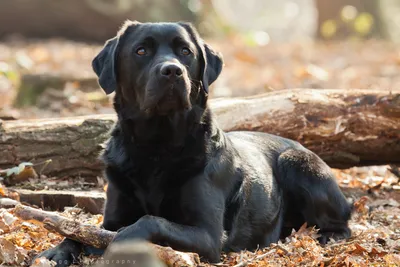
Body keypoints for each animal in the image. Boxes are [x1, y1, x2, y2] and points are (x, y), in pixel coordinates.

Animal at [36, 21, 352, 267]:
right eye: (141, 51)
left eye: (185, 52)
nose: (172, 71)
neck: (157, 146)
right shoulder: (111, 217)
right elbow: (77, 231)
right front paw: (57, 251)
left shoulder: (208, 235)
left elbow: (150, 220)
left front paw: (122, 242)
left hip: (297, 163)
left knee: (343, 223)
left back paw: (328, 236)